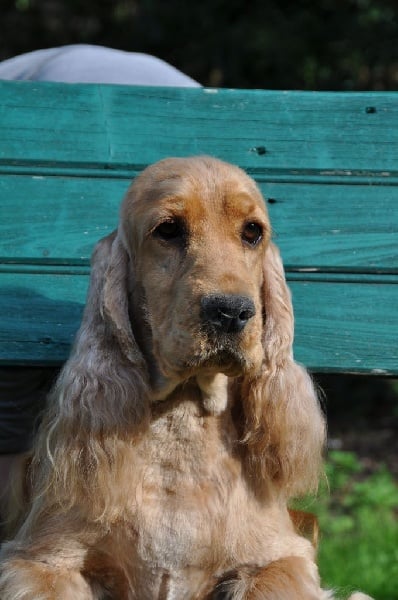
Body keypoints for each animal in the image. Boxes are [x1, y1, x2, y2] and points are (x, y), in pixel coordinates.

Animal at [0, 157, 370, 596]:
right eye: (168, 230)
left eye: (252, 232)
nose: (232, 311)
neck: (184, 414)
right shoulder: (42, 559)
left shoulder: (282, 555)